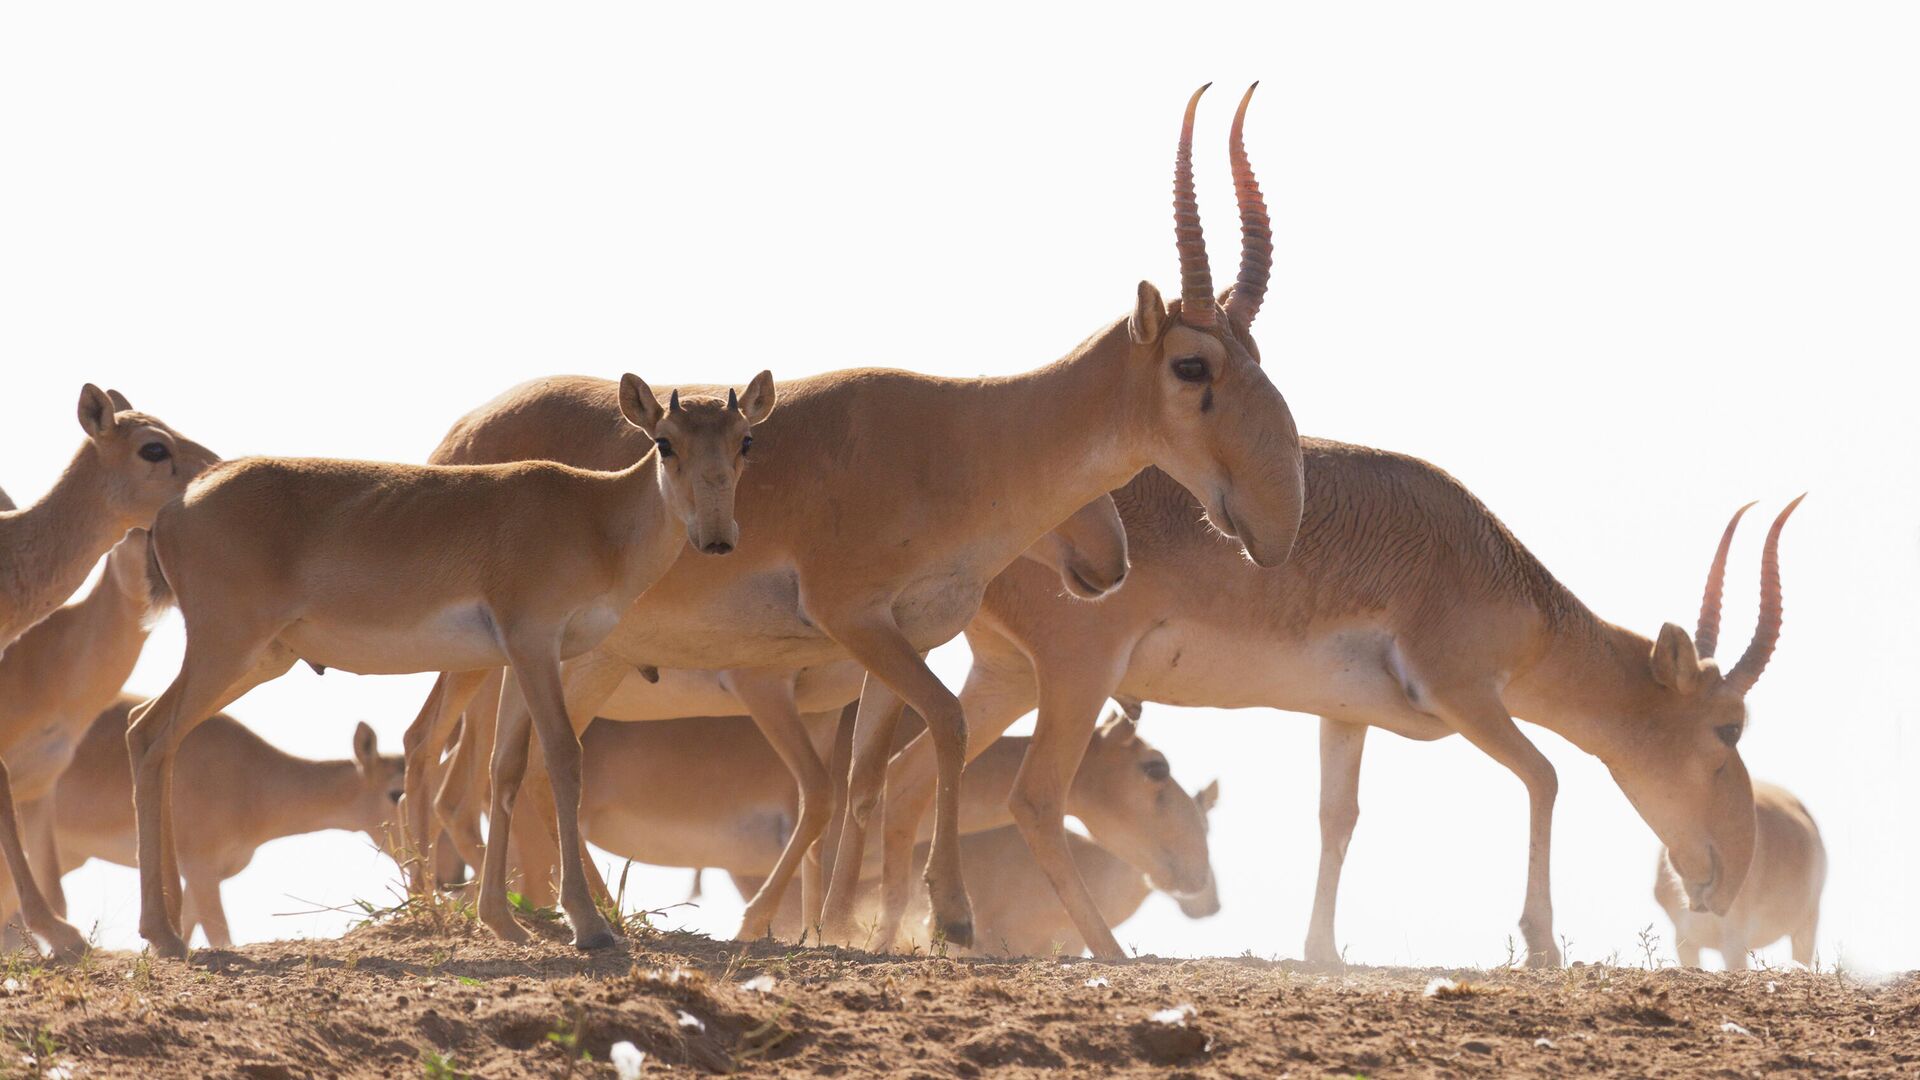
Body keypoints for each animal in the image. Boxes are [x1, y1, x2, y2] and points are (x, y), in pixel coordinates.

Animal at [123, 372, 771, 957]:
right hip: (225, 648)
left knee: (153, 736)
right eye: (665, 441)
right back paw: (163, 935)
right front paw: (590, 927)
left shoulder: (516, 663)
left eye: (744, 440)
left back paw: (167, 929)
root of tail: (177, 506)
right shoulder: (536, 647)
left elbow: (503, 770)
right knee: (150, 732)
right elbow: (563, 757)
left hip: (260, 659)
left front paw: (503, 922)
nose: (717, 536)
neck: (594, 515)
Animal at [426, 84, 1305, 945]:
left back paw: (543, 915)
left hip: (581, 659)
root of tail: (461, 433)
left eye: (1256, 356)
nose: (1276, 522)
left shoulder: (899, 640)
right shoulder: (854, 619)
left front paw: (846, 926)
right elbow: (945, 725)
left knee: (522, 762)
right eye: (1191, 365)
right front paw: (946, 914)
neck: (964, 437)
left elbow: (869, 777)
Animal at [856, 441, 1797, 960]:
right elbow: (1547, 776)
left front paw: (1320, 953)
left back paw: (884, 939)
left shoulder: (1345, 718)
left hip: (1006, 678)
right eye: (1728, 726)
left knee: (907, 777)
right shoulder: (1465, 697)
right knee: (1033, 797)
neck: (1479, 554)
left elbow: (1336, 817)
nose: (1725, 877)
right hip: (1077, 676)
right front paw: (1539, 949)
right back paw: (1111, 952)